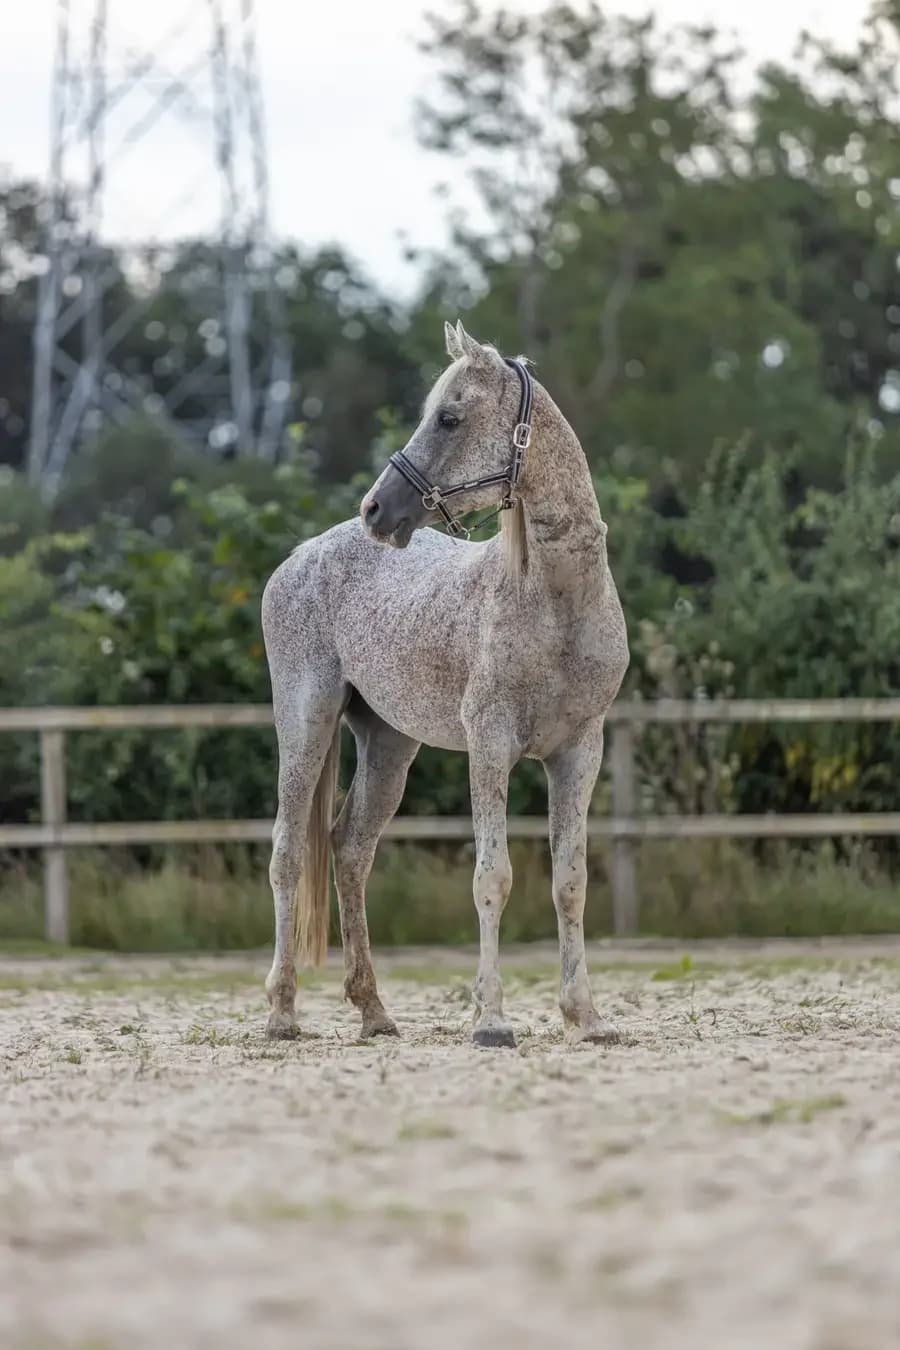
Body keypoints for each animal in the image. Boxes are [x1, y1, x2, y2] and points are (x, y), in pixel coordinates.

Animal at [261, 321, 629, 1048]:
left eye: (449, 418)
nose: (378, 508)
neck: (557, 600)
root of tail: (301, 556)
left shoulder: (580, 751)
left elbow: (569, 882)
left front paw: (585, 1016)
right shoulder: (490, 744)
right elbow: (494, 878)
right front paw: (491, 1020)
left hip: (389, 746)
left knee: (350, 850)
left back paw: (374, 1012)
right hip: (306, 723)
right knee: (288, 852)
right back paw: (282, 1011)